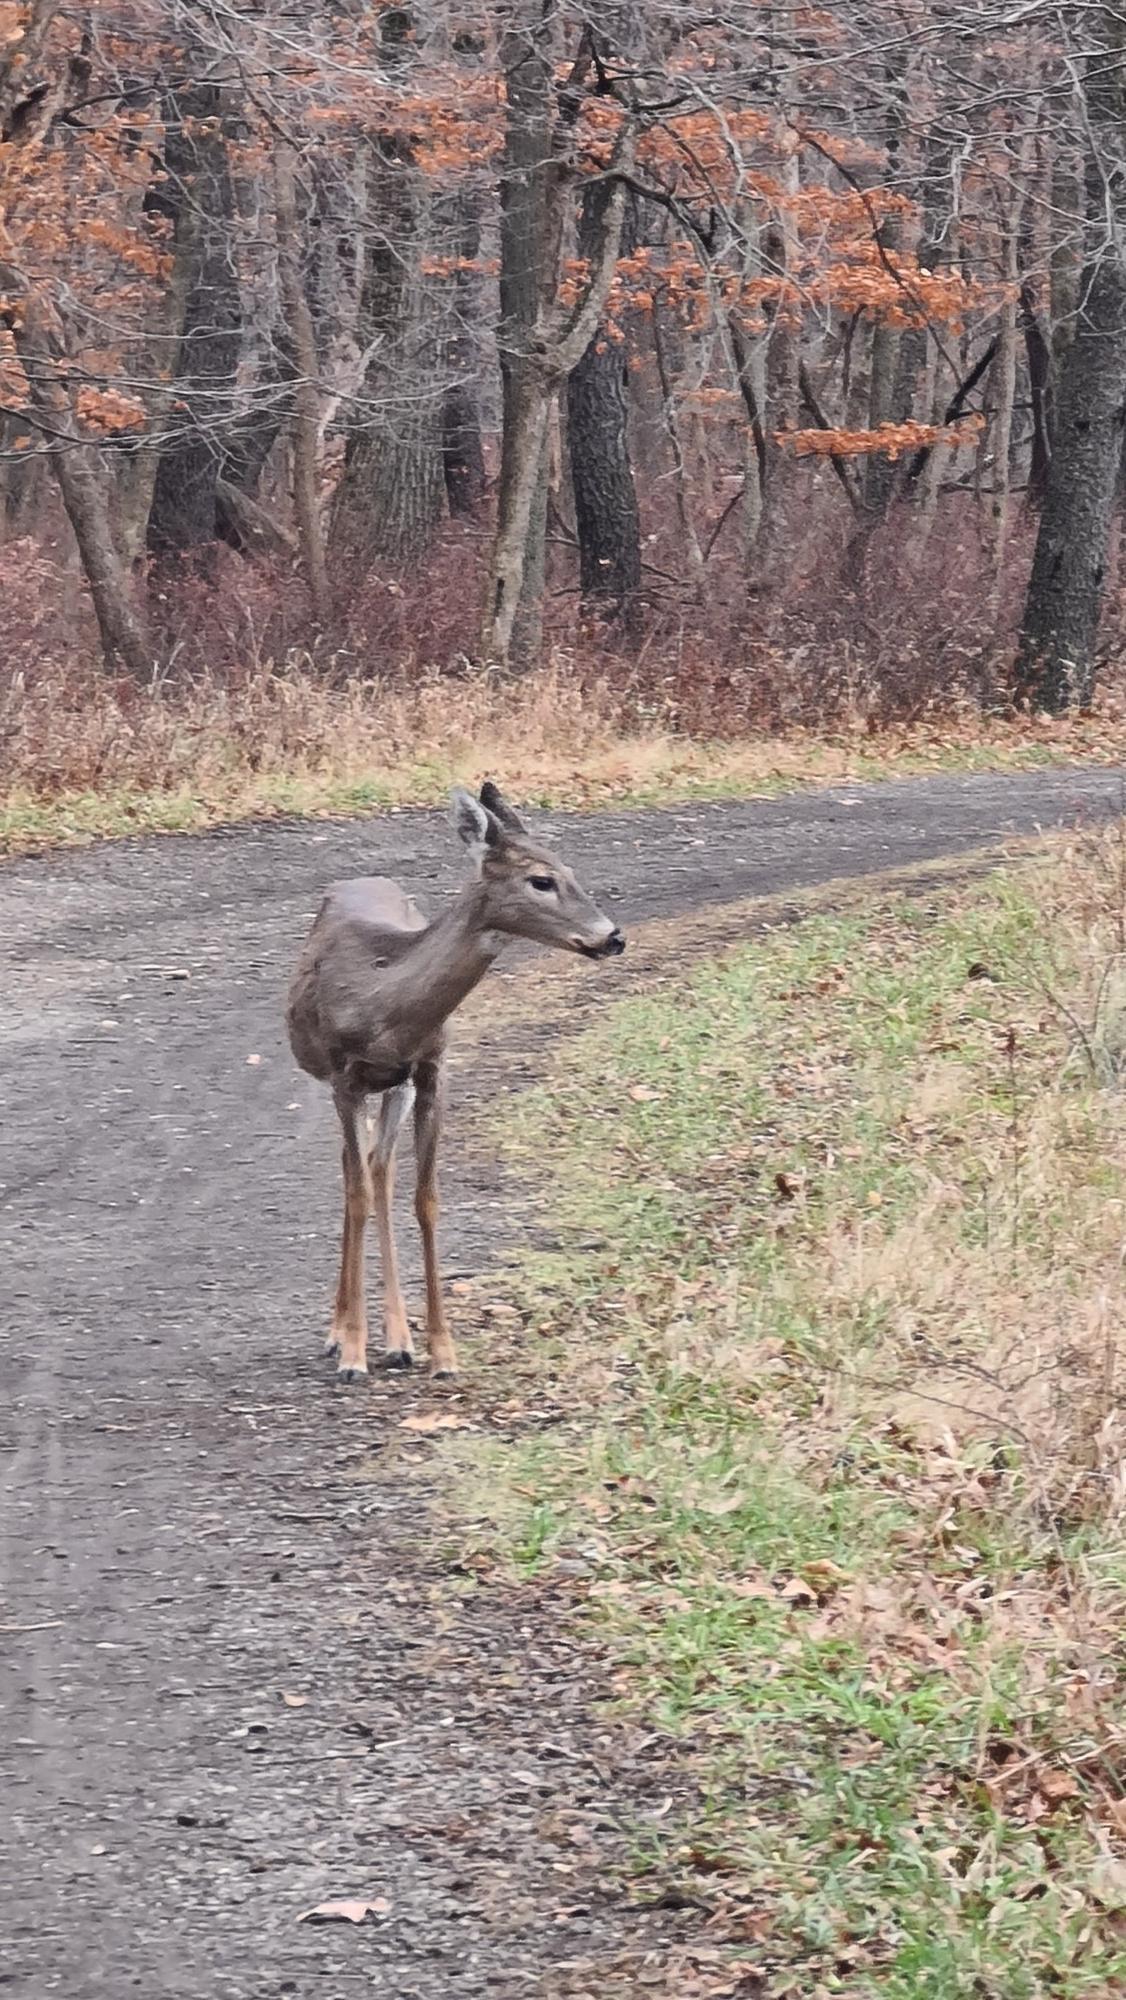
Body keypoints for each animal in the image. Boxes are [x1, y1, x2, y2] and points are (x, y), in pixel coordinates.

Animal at [286, 782, 626, 1383]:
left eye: (570, 869)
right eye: (542, 880)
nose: (612, 937)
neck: (383, 1002)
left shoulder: (431, 1071)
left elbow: (425, 1199)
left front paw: (442, 1352)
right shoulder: (343, 1079)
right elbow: (355, 1196)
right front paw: (352, 1354)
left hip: (394, 1089)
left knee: (379, 1170)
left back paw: (399, 1339)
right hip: (346, 1086)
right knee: (357, 1175)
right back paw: (342, 1334)